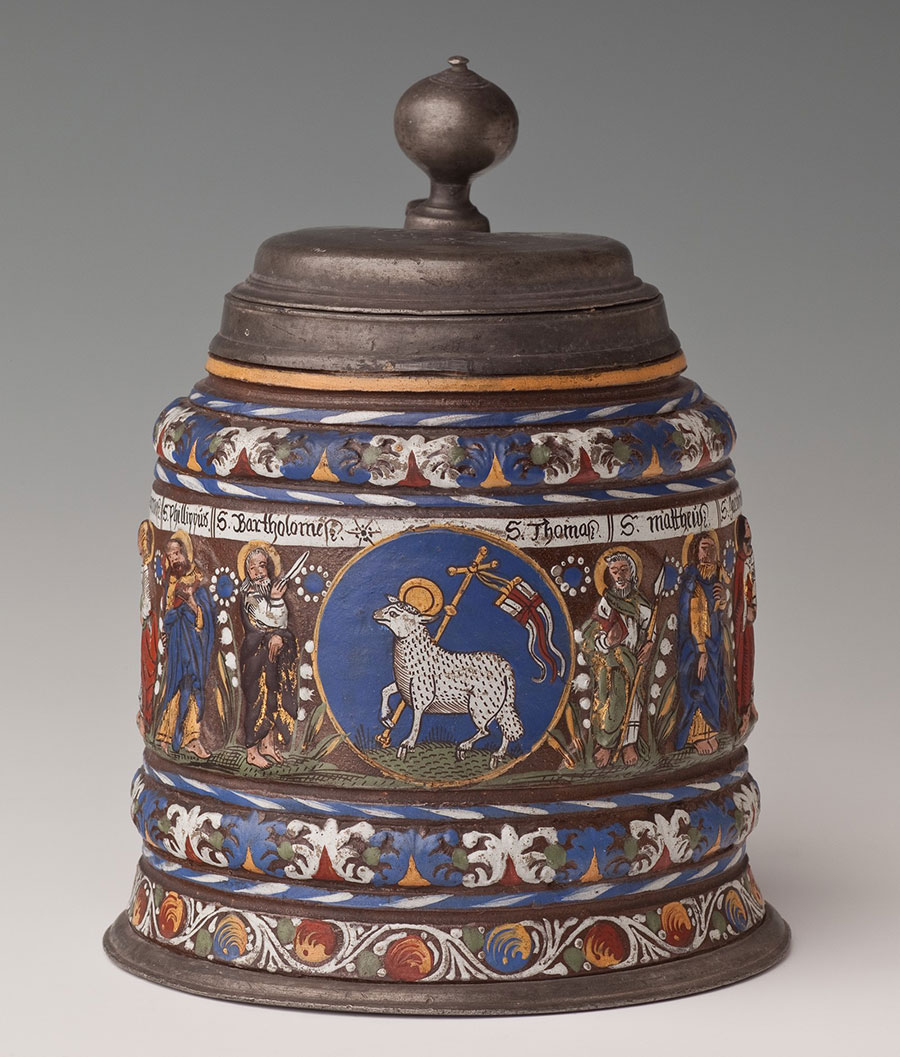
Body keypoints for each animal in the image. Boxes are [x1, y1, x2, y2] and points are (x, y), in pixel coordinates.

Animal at [373, 596, 524, 769]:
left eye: (393, 613)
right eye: (389, 605)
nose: (375, 613)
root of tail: (505, 666)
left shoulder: (422, 694)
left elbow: (417, 718)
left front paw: (407, 743)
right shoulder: (403, 685)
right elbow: (385, 691)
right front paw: (386, 719)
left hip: (481, 706)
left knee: (487, 730)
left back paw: (464, 746)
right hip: (499, 705)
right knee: (506, 728)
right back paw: (497, 755)